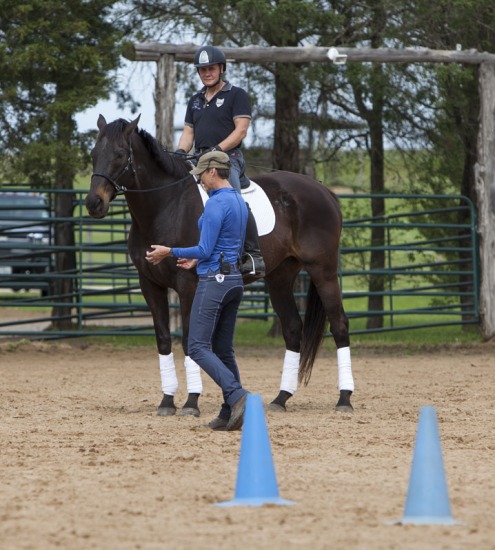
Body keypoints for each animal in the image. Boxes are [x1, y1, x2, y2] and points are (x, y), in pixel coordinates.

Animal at [86, 115, 356, 418]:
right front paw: (167, 401)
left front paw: (191, 403)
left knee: (340, 325)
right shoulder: (150, 285)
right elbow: (164, 339)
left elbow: (189, 339)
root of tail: (324, 191)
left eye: (120, 155)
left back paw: (344, 399)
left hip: (323, 271)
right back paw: (281, 398)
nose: (94, 203)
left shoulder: (188, 285)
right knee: (293, 329)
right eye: (94, 154)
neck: (167, 205)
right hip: (280, 278)